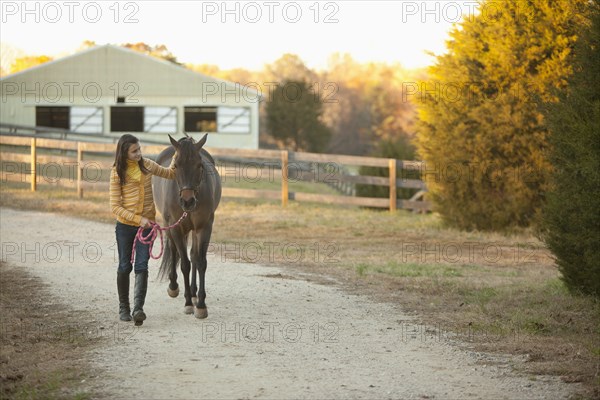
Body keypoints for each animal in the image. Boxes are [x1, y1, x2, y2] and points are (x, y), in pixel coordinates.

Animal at [154, 134, 221, 318]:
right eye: (176, 165)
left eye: (199, 165)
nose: (188, 201)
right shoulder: (176, 228)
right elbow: (184, 264)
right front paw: (188, 303)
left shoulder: (204, 227)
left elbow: (200, 262)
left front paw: (201, 304)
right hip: (171, 226)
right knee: (174, 250)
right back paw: (174, 287)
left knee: (193, 255)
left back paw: (192, 291)